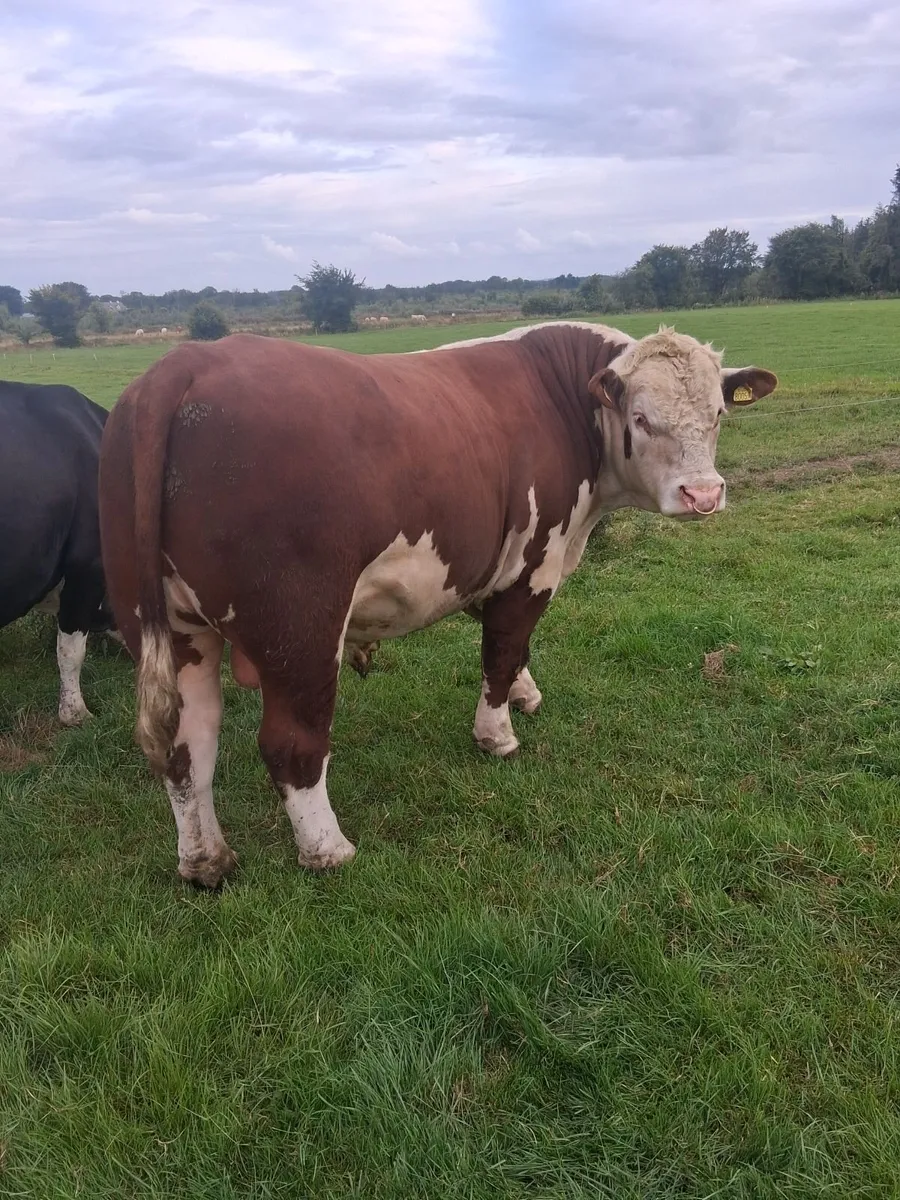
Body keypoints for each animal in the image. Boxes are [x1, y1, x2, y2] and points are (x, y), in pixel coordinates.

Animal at [99, 321, 777, 887]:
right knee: (291, 742)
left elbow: (514, 651)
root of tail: (183, 365)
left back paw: (206, 860)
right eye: (641, 418)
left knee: (187, 744)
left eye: (719, 414)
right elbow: (502, 650)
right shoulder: (531, 566)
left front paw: (526, 694)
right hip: (301, 630)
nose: (703, 494)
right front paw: (497, 733)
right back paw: (327, 849)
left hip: (171, 629)